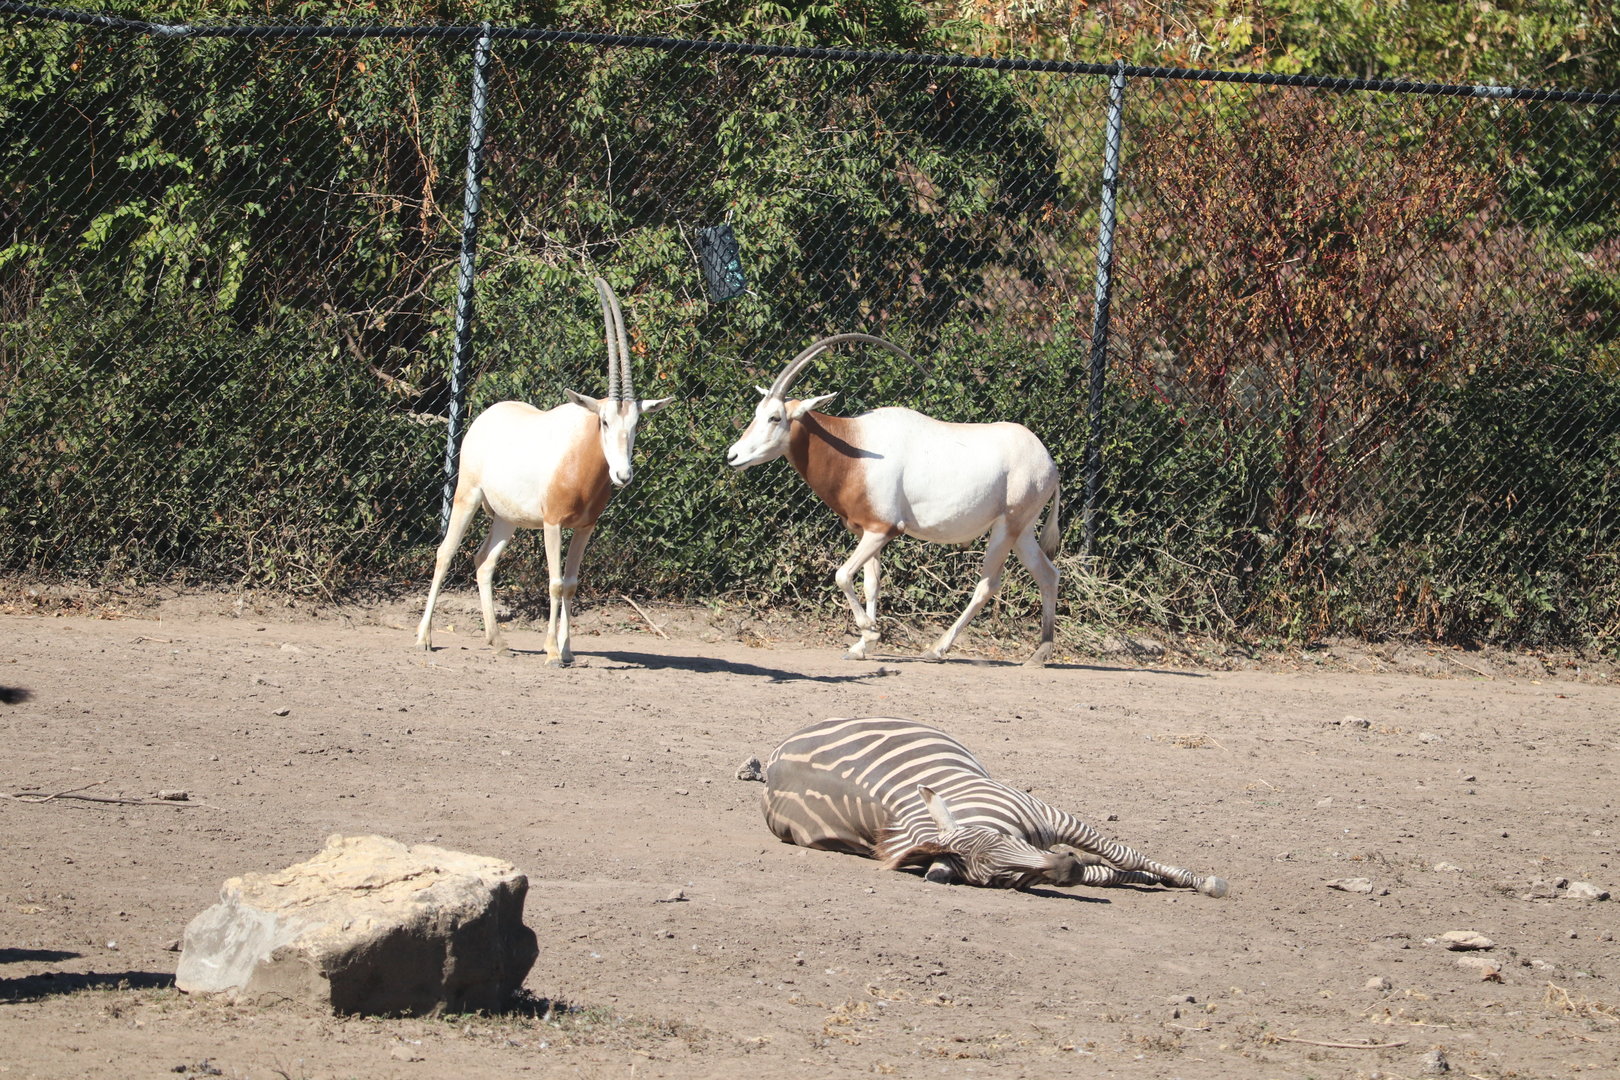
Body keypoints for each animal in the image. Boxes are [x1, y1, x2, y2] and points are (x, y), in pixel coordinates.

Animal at [759, 717, 1229, 896]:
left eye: (1001, 839)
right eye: (1000, 879)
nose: (1065, 867)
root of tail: (775, 754)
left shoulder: (1053, 816)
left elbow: (1122, 854)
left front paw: (1201, 881)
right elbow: (1105, 871)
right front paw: (1148, 880)